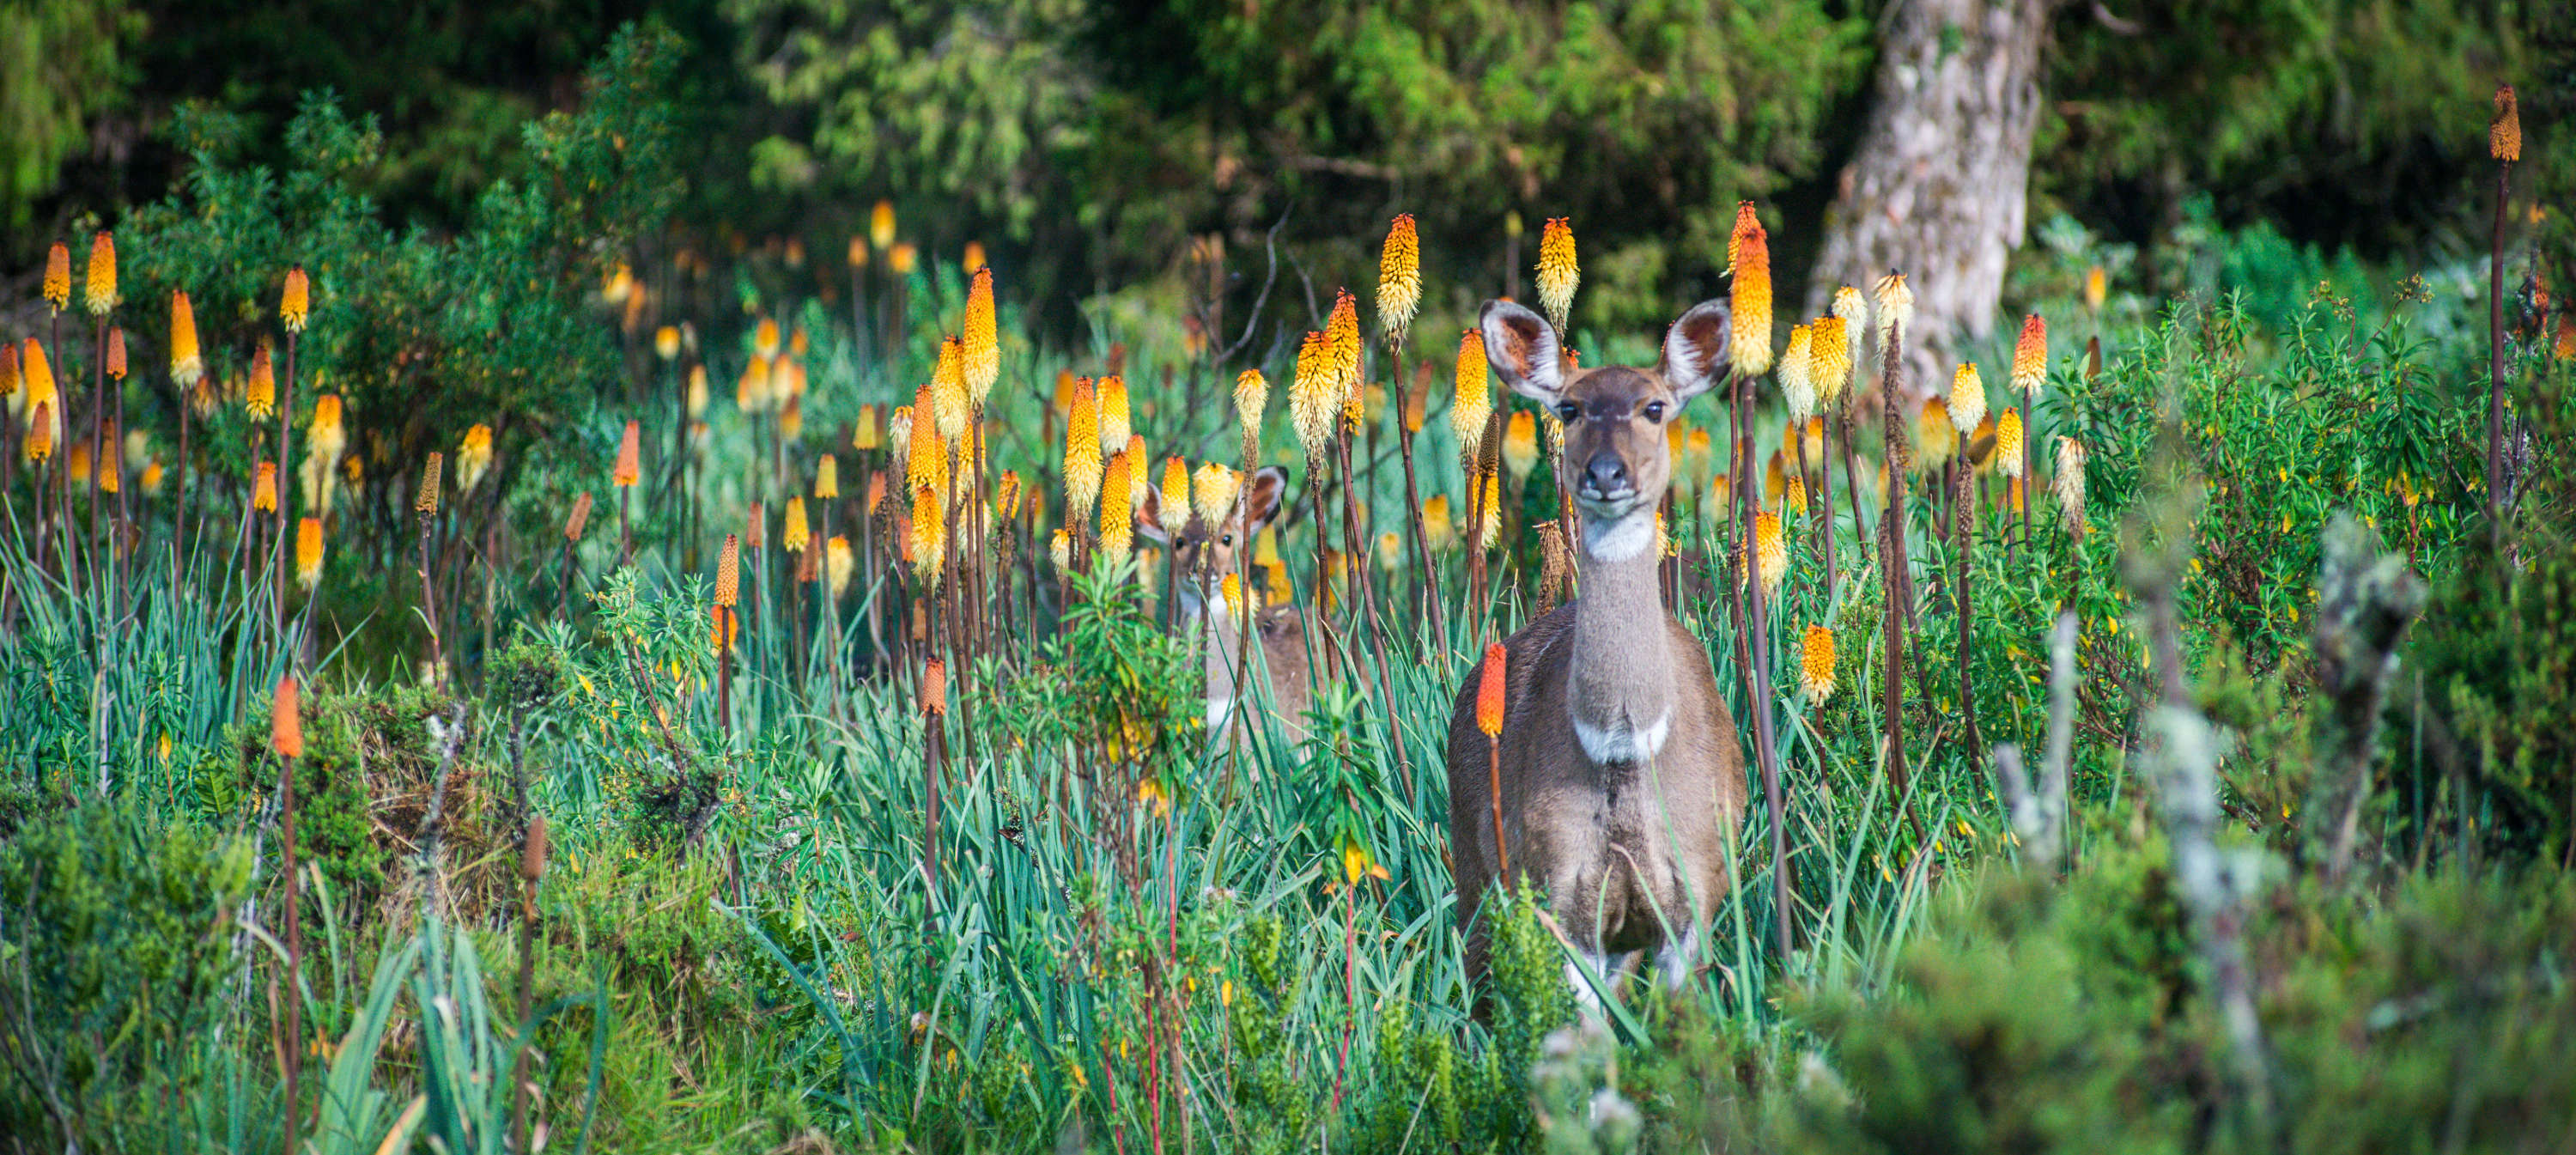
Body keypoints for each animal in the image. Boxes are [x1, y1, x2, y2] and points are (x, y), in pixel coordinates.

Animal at [1453, 297, 1752, 1000]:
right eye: (1569, 407)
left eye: (1654, 407)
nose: (1606, 473)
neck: (1622, 747)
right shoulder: (1560, 895)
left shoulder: (1695, 892)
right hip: (1474, 874)